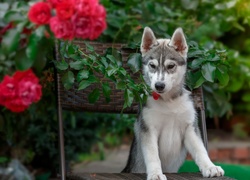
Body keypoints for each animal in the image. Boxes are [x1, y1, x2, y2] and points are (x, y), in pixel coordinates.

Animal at [121, 27, 225, 180]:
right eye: (152, 65)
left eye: (171, 66)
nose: (159, 85)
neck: (169, 101)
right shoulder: (148, 128)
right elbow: (153, 155)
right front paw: (155, 173)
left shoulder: (190, 128)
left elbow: (200, 150)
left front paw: (210, 167)